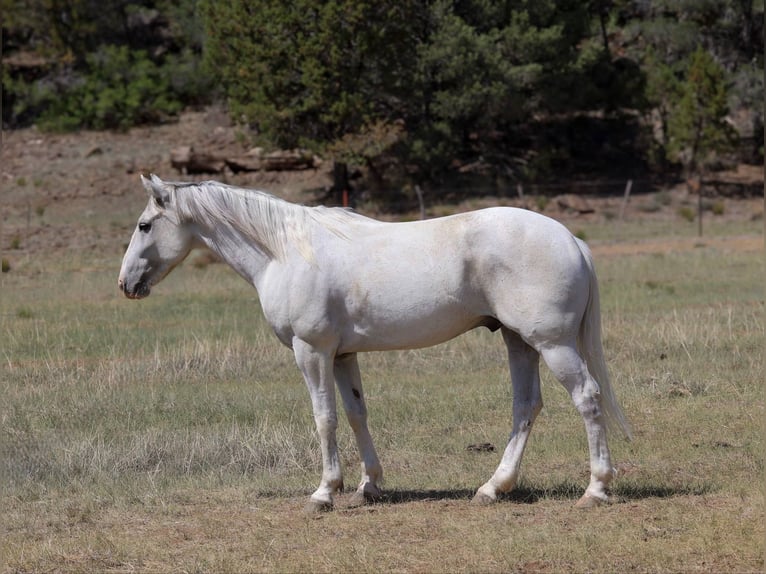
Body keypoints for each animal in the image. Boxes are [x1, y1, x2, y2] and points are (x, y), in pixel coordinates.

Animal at [118, 174, 632, 512]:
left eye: (144, 225)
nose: (125, 284)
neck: (285, 250)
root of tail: (571, 239)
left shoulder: (312, 351)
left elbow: (324, 418)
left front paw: (324, 492)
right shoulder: (343, 355)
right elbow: (355, 414)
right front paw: (369, 486)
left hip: (553, 344)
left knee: (587, 399)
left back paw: (595, 489)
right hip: (518, 341)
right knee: (526, 407)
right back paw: (493, 487)